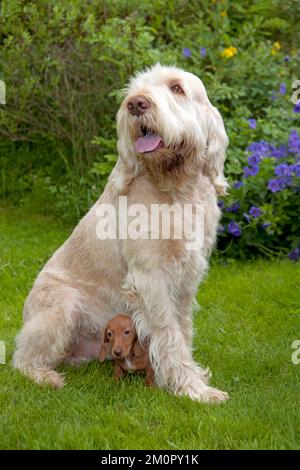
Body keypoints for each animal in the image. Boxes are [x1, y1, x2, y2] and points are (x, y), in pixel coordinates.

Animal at [12, 63, 230, 404]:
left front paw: (192, 377)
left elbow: (182, 330)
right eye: (134, 89)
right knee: (21, 358)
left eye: (177, 88)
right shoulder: (150, 278)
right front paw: (190, 388)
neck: (174, 190)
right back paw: (45, 377)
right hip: (63, 306)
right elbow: (169, 334)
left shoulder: (186, 279)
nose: (136, 104)